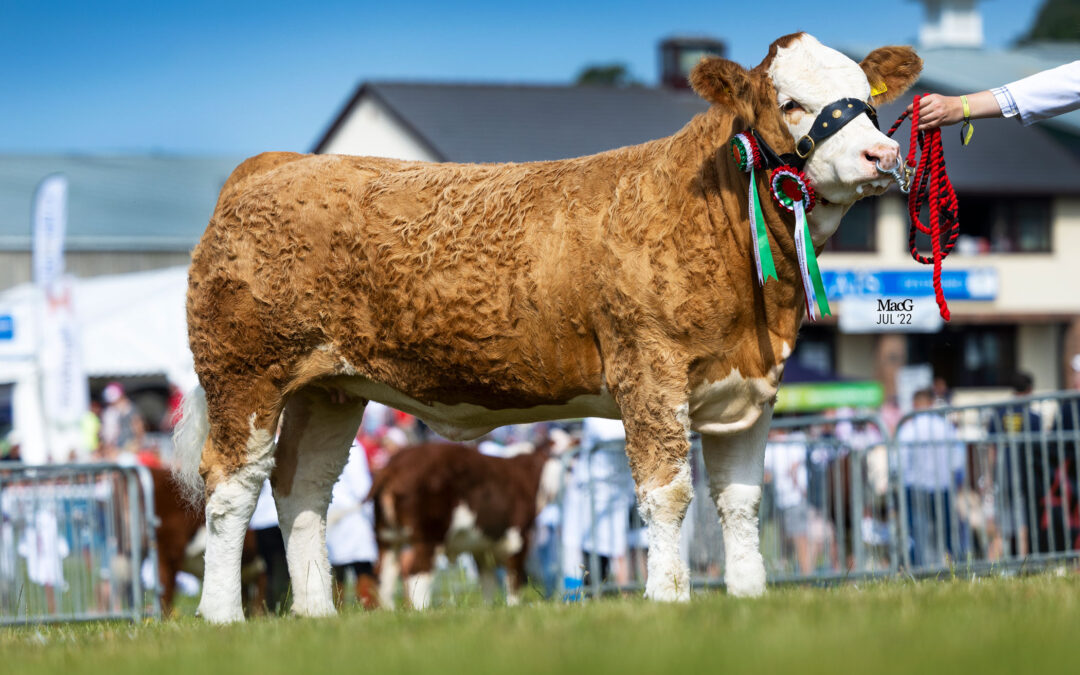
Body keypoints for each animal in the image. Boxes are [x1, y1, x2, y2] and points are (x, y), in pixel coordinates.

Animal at [369, 440, 557, 609]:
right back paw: (422, 610)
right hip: (428, 537)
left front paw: (488, 609)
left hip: (387, 537)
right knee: (417, 572)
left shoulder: (482, 547)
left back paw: (388, 611)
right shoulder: (519, 539)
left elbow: (488, 582)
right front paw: (513, 607)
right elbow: (514, 580)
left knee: (384, 575)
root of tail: (395, 465)